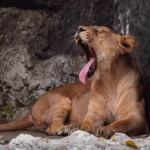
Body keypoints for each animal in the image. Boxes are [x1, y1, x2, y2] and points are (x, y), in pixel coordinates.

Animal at [0, 26, 148, 138]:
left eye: (102, 31)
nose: (79, 28)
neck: (110, 79)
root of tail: (31, 111)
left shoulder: (138, 118)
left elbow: (120, 123)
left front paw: (106, 129)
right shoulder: (93, 114)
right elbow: (86, 124)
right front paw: (81, 130)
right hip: (63, 100)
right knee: (51, 127)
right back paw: (68, 128)